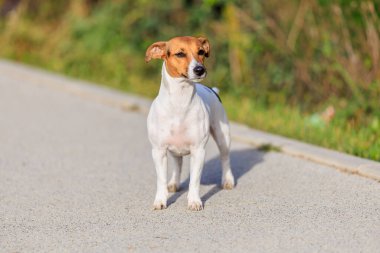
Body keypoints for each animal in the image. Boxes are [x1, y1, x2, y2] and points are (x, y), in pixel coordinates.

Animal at [145, 35, 235, 210]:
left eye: (201, 52)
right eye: (180, 54)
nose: (200, 69)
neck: (180, 101)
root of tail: (212, 90)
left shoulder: (198, 151)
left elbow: (194, 180)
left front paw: (194, 201)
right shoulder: (158, 151)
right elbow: (161, 179)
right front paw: (160, 200)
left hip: (223, 136)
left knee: (225, 158)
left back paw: (227, 180)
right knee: (178, 164)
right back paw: (174, 183)